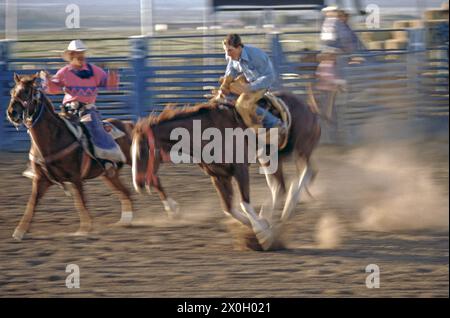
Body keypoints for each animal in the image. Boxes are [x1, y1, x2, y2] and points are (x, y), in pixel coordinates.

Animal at [6, 72, 135, 241]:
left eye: (26, 92)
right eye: (12, 91)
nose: (11, 113)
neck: (54, 138)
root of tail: (127, 124)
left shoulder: (75, 177)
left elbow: (80, 202)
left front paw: (85, 228)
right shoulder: (41, 179)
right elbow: (32, 204)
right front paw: (20, 231)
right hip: (109, 174)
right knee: (125, 192)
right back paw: (125, 221)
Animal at [132, 90, 322, 250]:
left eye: (142, 151)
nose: (138, 184)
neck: (206, 132)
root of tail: (309, 108)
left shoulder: (240, 169)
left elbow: (244, 203)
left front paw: (263, 235)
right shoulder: (218, 176)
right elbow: (228, 208)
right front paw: (258, 226)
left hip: (301, 148)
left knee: (306, 172)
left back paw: (290, 204)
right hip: (270, 159)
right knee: (279, 186)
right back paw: (275, 213)